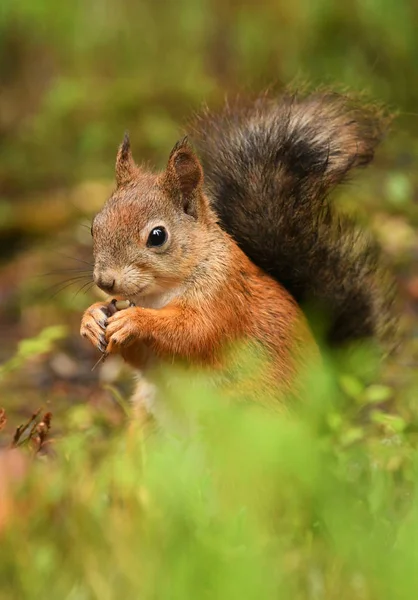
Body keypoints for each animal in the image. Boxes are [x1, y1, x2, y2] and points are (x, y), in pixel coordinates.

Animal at [81, 89, 398, 420]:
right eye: (94, 226)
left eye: (157, 236)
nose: (105, 281)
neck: (159, 294)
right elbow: (141, 356)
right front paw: (91, 317)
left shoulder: (225, 298)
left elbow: (194, 332)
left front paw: (135, 320)